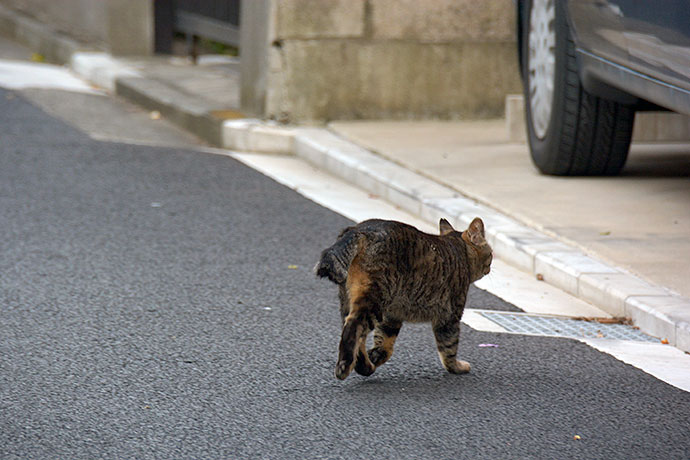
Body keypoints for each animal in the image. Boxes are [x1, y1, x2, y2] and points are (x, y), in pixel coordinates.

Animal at [314, 217, 492, 380]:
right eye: (490, 253)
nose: (490, 267)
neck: (459, 250)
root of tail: (359, 229)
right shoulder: (449, 317)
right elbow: (449, 348)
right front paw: (457, 367)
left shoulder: (392, 316)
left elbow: (385, 345)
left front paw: (375, 356)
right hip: (375, 298)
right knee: (354, 326)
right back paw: (345, 366)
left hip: (350, 298)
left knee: (357, 335)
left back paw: (364, 366)